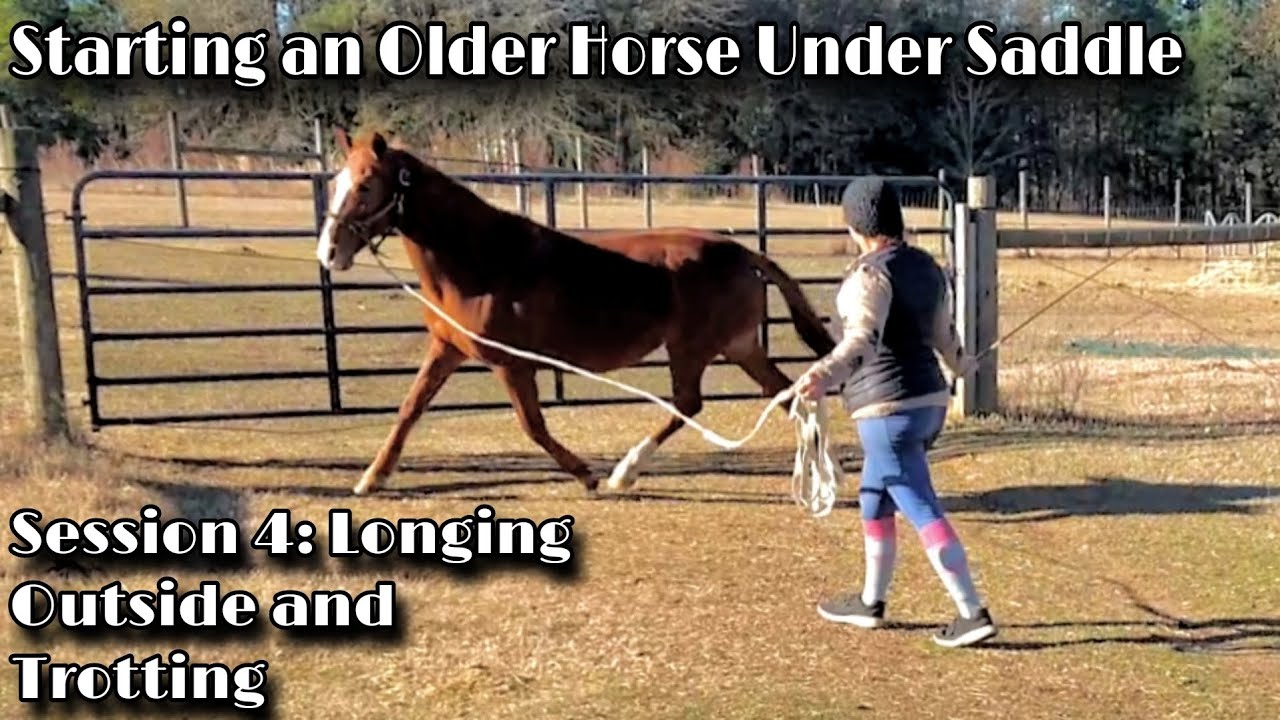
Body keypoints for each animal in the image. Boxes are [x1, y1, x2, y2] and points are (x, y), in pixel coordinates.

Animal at [317, 128, 837, 496]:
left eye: (366, 185)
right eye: (337, 181)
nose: (328, 252)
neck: (482, 260)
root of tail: (740, 251)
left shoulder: (511, 363)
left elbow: (533, 425)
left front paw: (587, 474)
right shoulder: (447, 349)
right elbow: (409, 410)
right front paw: (371, 478)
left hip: (692, 349)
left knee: (687, 404)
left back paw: (625, 471)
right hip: (740, 346)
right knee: (784, 393)